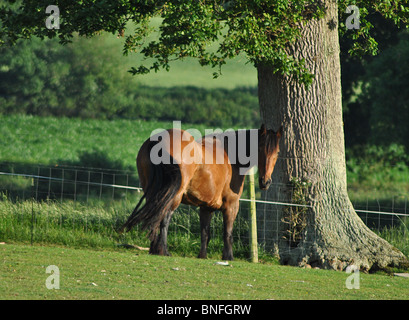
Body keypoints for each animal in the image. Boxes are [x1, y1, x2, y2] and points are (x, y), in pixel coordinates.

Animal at [119, 123, 282, 260]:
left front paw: (202, 256)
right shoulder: (231, 205)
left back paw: (154, 249)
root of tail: (159, 139)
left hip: (154, 192)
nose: (265, 182)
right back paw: (163, 251)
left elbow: (205, 233)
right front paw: (228, 257)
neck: (230, 156)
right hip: (174, 195)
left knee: (155, 215)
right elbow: (227, 233)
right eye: (259, 148)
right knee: (164, 217)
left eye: (277, 153)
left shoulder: (206, 207)